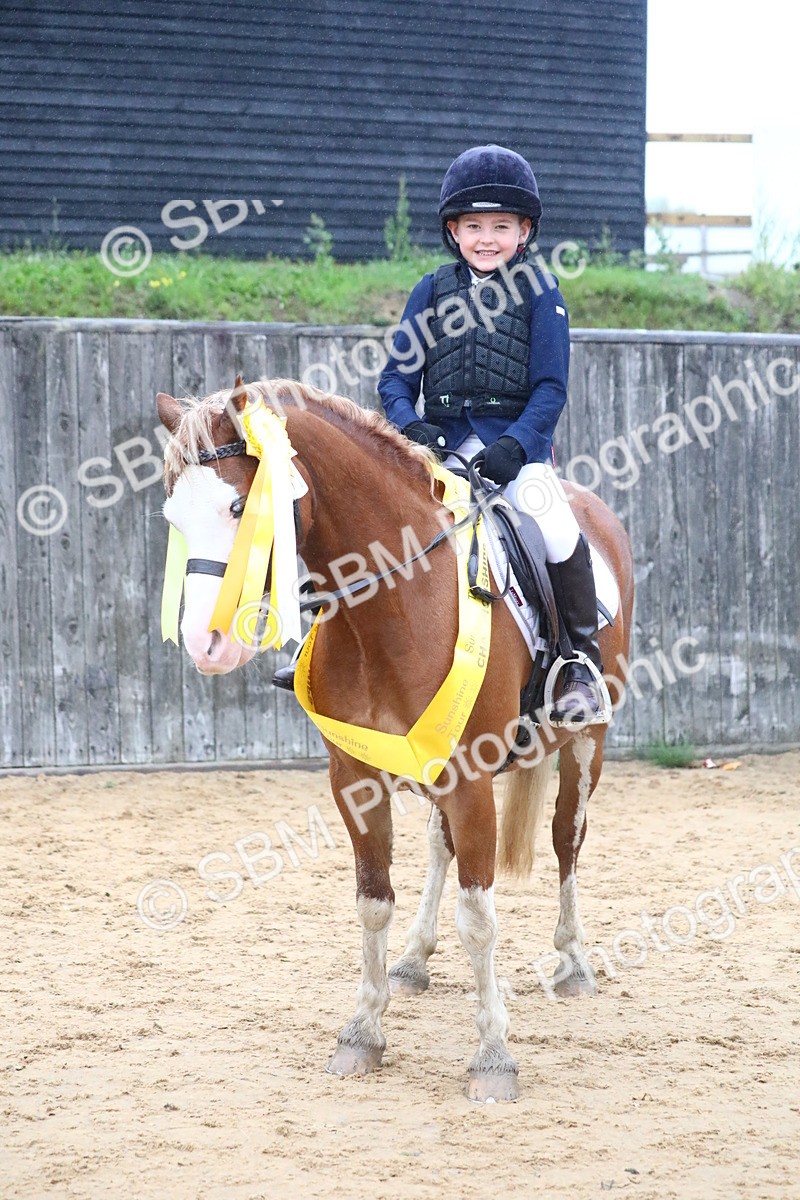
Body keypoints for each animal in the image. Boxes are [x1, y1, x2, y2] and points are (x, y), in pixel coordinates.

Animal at [156, 377, 634, 1103]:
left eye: (242, 505)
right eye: (173, 518)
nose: (206, 645)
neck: (390, 608)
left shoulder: (471, 777)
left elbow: (479, 917)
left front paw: (493, 1056)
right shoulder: (355, 780)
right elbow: (373, 903)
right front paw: (362, 1032)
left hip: (588, 742)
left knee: (566, 841)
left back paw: (574, 962)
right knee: (442, 846)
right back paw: (413, 960)